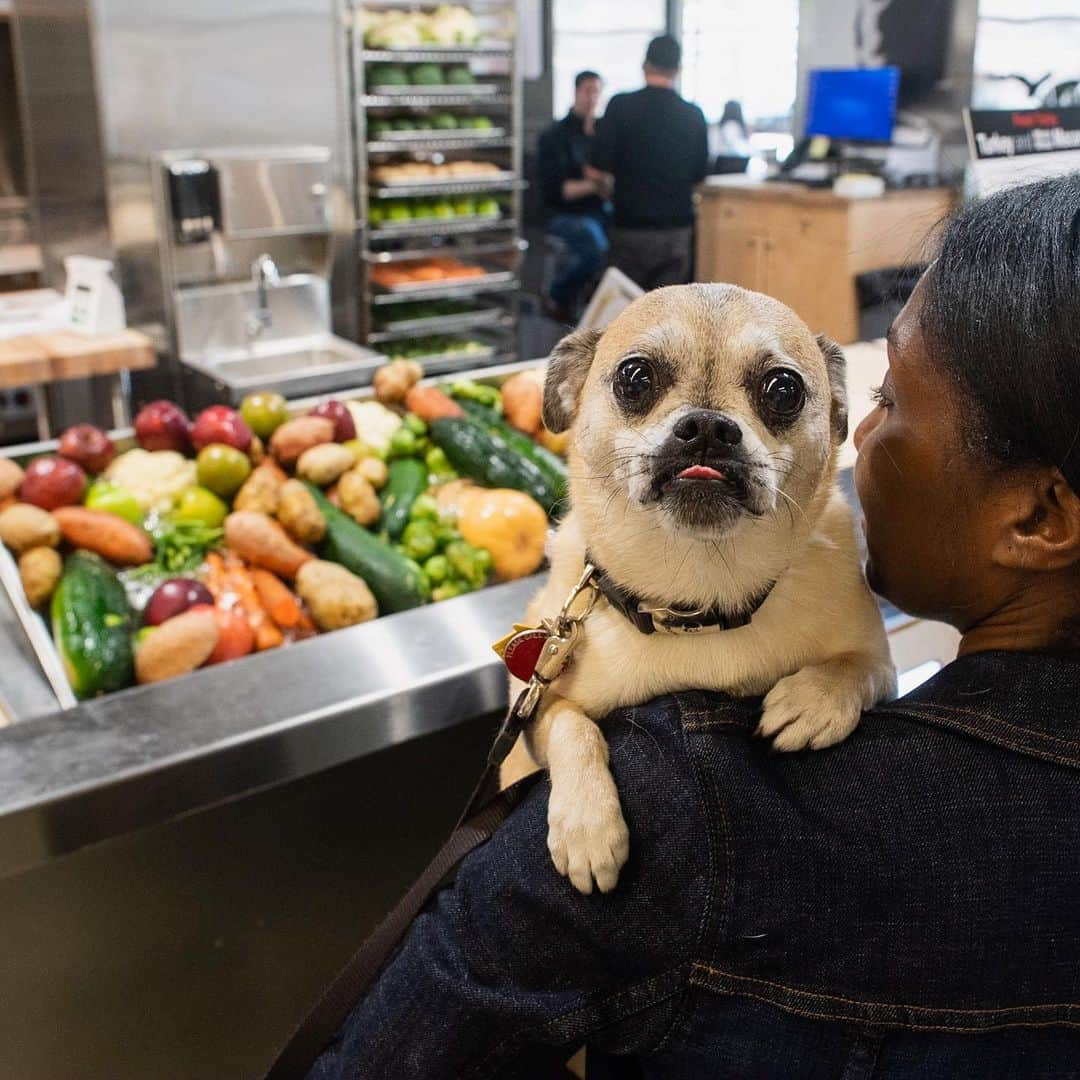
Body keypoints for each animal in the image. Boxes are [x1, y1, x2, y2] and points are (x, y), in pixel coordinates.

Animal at [501, 285, 898, 894]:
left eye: (784, 390)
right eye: (635, 379)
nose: (709, 426)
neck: (695, 598)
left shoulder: (883, 665)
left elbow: (857, 666)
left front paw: (812, 701)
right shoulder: (534, 711)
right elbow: (572, 725)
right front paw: (588, 826)